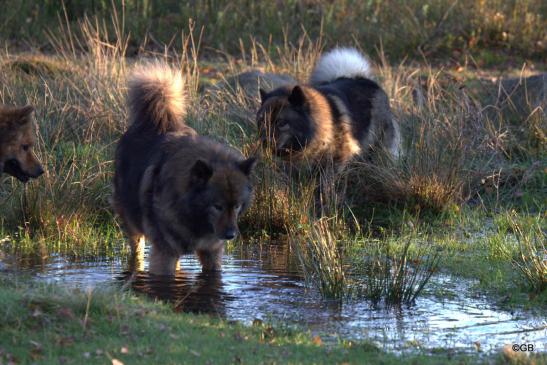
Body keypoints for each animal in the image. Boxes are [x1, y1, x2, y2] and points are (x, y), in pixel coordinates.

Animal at [113, 62, 256, 274]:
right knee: (136, 252)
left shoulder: (211, 252)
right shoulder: (165, 253)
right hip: (133, 227)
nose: (231, 234)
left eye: (237, 205)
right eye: (218, 206)